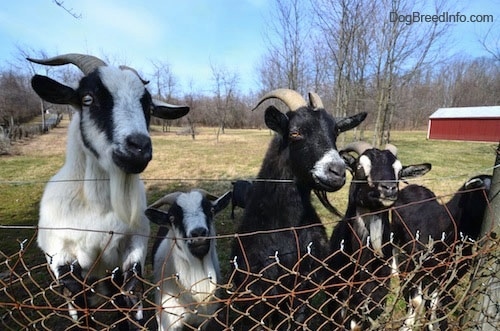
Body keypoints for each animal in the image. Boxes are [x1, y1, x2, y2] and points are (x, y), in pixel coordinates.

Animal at [29, 53, 189, 330]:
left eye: (148, 107)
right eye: (87, 99)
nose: (139, 148)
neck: (97, 206)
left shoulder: (134, 243)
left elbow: (131, 291)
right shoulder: (60, 253)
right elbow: (77, 299)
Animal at [228, 88, 368, 330]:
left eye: (335, 133)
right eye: (295, 133)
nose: (337, 172)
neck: (285, 228)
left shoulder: (304, 287)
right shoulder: (259, 291)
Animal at [390, 175, 492, 330]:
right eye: (483, 191)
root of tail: (413, 186)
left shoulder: (450, 274)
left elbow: (436, 303)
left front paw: (434, 325)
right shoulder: (419, 264)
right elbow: (416, 301)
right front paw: (408, 325)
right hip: (396, 228)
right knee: (394, 244)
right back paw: (394, 270)